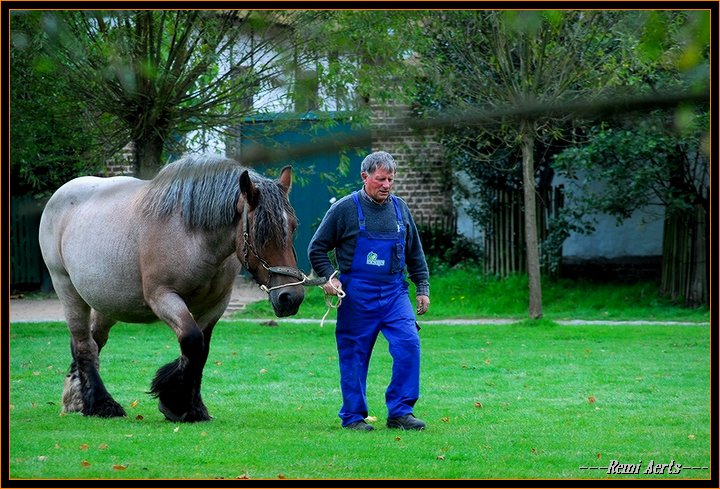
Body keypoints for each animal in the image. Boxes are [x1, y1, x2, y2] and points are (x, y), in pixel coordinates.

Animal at [38, 154, 310, 422]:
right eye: (260, 231)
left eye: (293, 226)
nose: (290, 297)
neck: (190, 235)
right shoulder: (163, 297)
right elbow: (192, 341)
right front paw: (176, 403)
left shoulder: (215, 305)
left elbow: (201, 351)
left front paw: (191, 406)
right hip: (67, 289)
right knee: (83, 345)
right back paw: (101, 404)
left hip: (107, 303)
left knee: (93, 342)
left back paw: (77, 398)